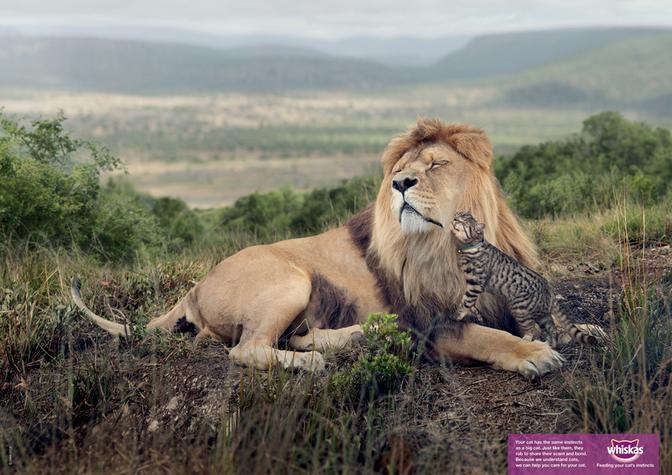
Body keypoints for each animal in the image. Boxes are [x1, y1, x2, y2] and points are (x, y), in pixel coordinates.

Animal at [72, 118, 567, 378]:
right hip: (290, 279)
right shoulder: (430, 324)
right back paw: (311, 362)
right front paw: (534, 354)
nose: (400, 184)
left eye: (437, 165)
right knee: (247, 349)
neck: (446, 244)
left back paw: (360, 336)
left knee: (295, 336)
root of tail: (193, 289)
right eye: (401, 171)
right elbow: (486, 335)